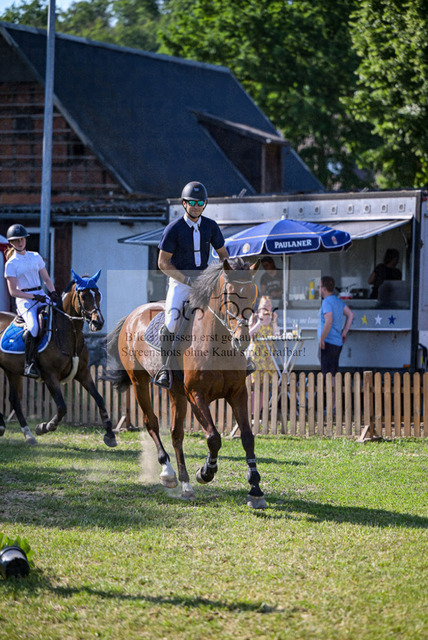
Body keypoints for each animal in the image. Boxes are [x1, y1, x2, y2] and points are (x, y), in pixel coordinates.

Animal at [0, 271, 117, 448]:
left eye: (98, 294)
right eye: (83, 296)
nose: (98, 322)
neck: (68, 333)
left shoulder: (83, 373)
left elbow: (99, 399)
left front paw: (110, 434)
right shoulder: (50, 377)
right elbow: (62, 407)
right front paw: (44, 427)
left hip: (12, 370)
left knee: (14, 400)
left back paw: (28, 435)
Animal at [107, 257, 266, 508]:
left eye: (253, 295)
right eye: (228, 295)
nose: (242, 340)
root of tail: (133, 314)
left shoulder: (237, 394)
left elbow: (248, 438)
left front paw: (255, 489)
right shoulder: (196, 396)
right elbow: (213, 437)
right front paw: (206, 471)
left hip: (176, 392)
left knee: (176, 433)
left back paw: (185, 485)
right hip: (139, 381)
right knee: (152, 423)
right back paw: (168, 473)